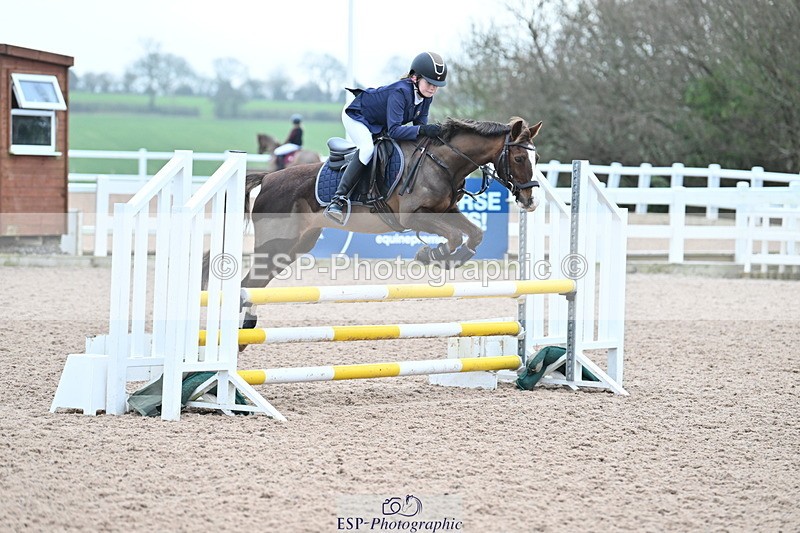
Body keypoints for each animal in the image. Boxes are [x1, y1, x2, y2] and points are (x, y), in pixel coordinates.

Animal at [231, 117, 542, 295]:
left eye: (536, 159)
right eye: (518, 158)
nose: (531, 201)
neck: (442, 162)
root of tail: (268, 178)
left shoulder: (446, 212)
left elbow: (475, 233)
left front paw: (450, 259)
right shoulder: (413, 217)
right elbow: (454, 236)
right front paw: (431, 254)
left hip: (295, 246)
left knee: (254, 286)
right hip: (275, 244)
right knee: (247, 285)